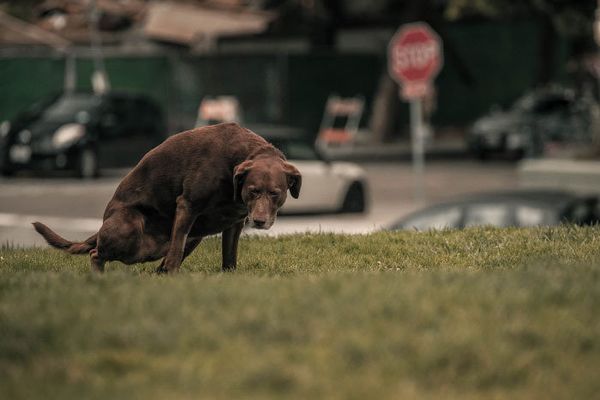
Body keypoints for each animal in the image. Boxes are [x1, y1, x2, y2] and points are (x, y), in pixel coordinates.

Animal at [31, 123, 302, 274]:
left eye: (275, 193)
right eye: (253, 191)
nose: (259, 221)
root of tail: (100, 228)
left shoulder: (234, 222)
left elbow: (229, 254)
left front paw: (229, 275)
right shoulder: (188, 205)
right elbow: (176, 249)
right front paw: (173, 276)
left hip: (194, 236)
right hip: (130, 227)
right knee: (96, 254)